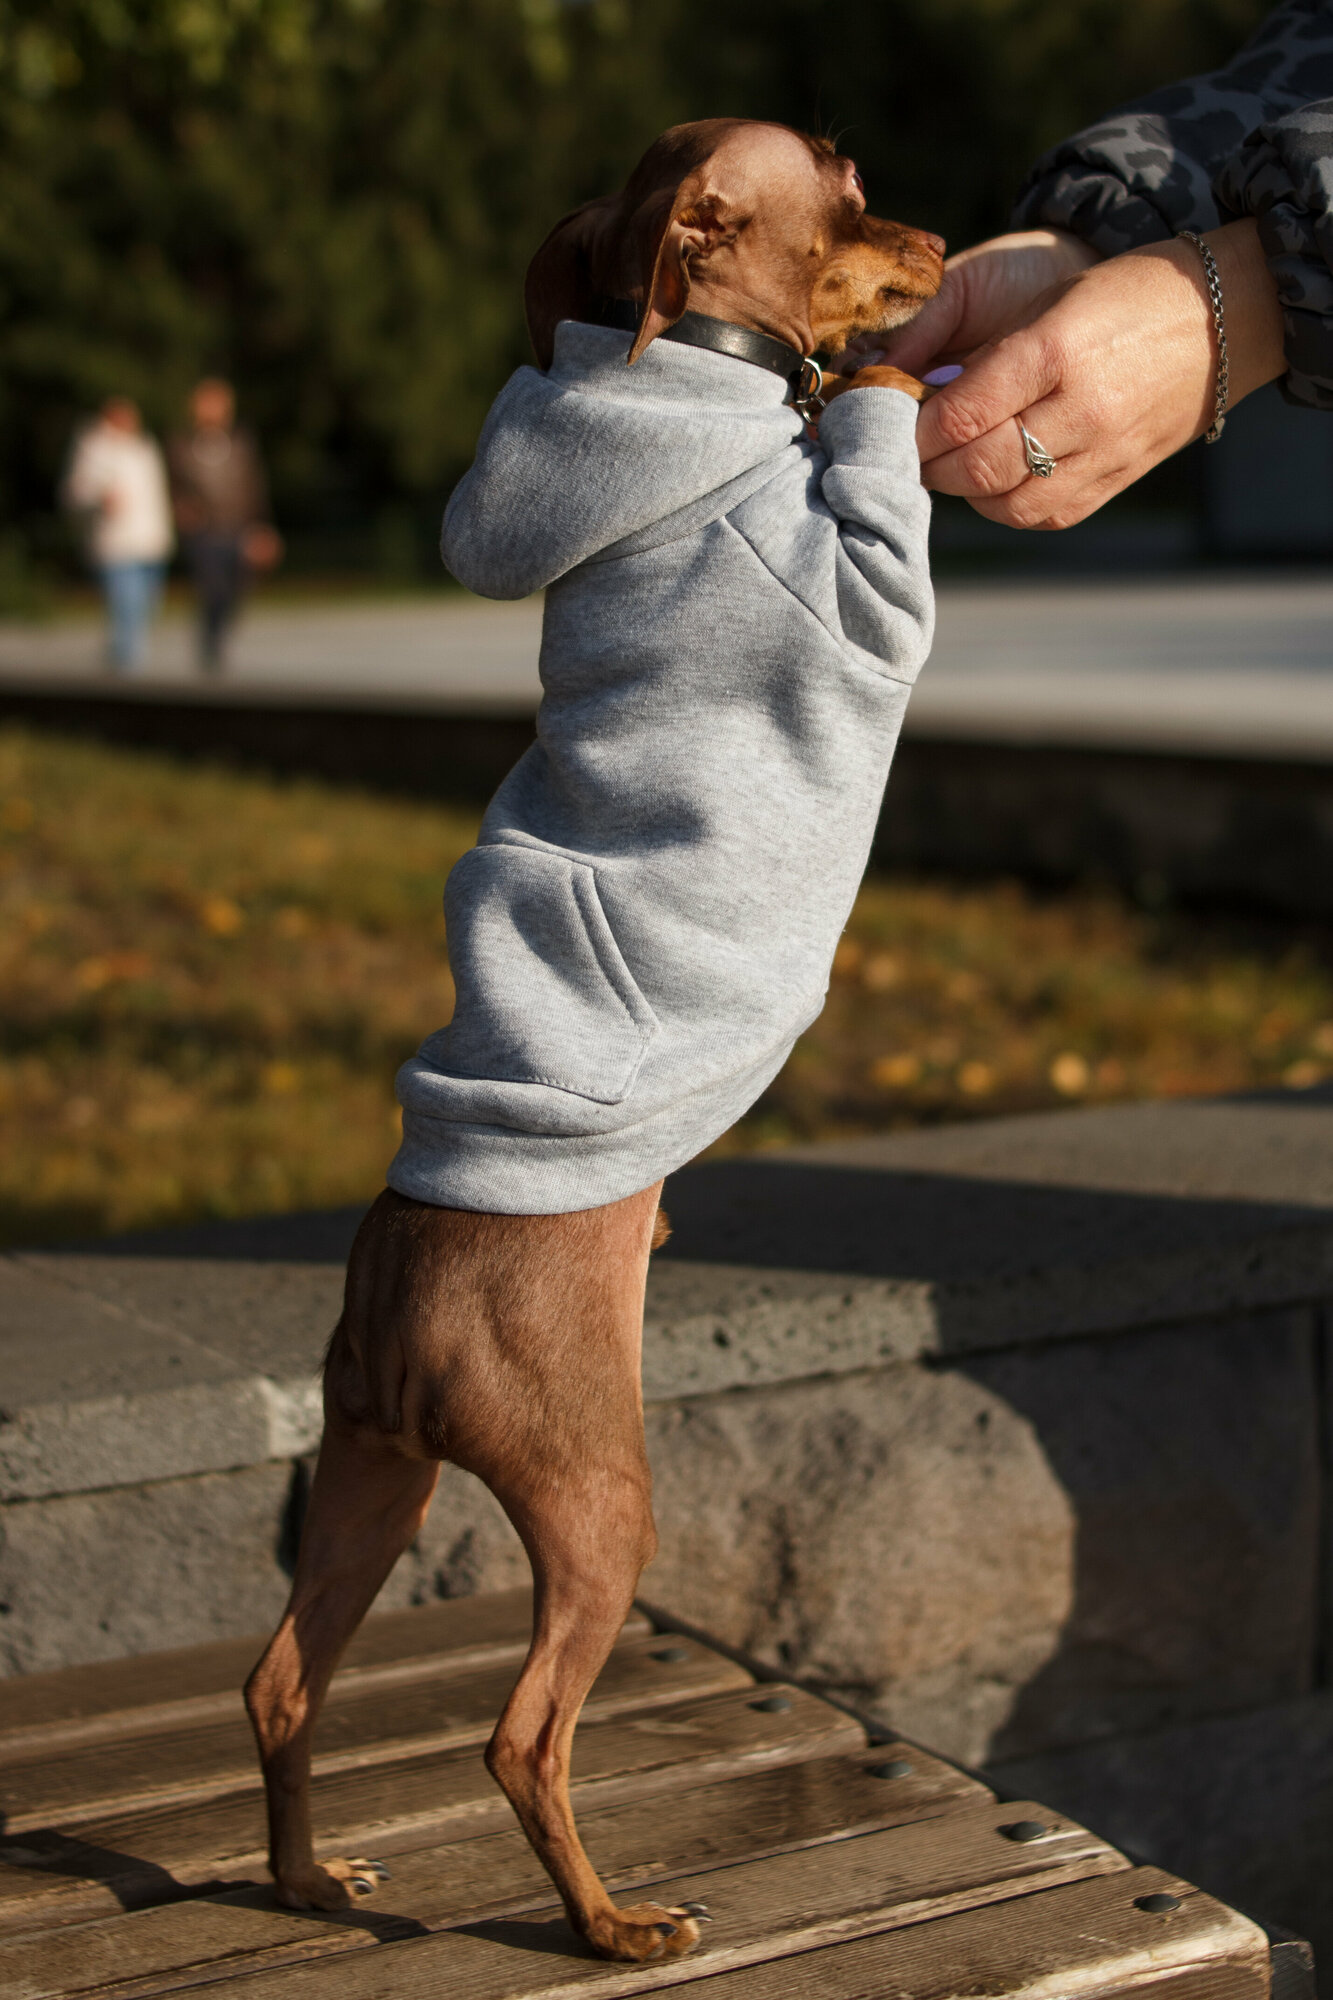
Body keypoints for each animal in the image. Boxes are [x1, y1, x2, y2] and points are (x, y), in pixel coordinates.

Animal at [241, 117, 944, 1960]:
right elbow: (876, 474)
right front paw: (881, 379)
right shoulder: (859, 603)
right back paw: (610, 1924)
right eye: (851, 191)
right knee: (520, 1736)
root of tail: (396, 1290)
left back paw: (308, 1878)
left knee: (282, 1684)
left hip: (372, 1478)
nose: (943, 238)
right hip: (594, 1500)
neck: (684, 379)